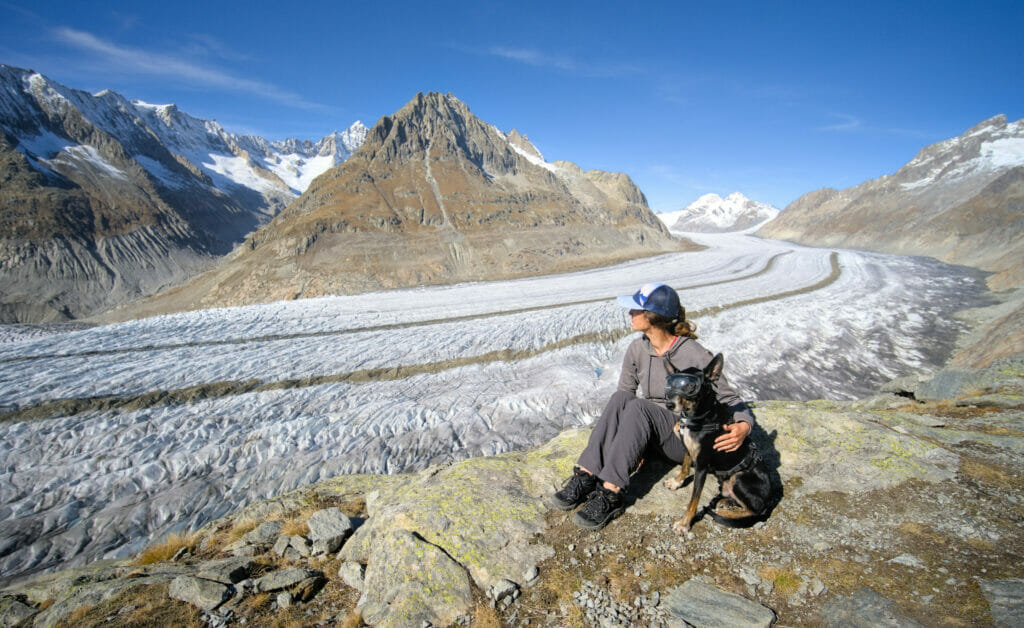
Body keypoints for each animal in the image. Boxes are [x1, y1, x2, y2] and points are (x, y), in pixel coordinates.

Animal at [663, 350, 770, 532]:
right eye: (671, 384)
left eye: (690, 387)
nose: (669, 404)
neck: (698, 417)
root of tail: (771, 499)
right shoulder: (687, 449)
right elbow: (684, 467)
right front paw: (677, 482)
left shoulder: (702, 466)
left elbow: (693, 500)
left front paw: (684, 524)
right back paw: (725, 502)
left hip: (739, 478)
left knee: (754, 511)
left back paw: (725, 513)